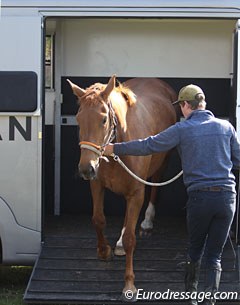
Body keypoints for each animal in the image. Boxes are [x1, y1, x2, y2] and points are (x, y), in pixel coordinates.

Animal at [67, 75, 176, 296]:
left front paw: (129, 284)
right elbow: (98, 220)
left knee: (154, 189)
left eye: (103, 119)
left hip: (162, 164)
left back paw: (147, 222)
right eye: (79, 119)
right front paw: (104, 251)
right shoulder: (97, 185)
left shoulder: (136, 193)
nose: (86, 168)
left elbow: (130, 240)